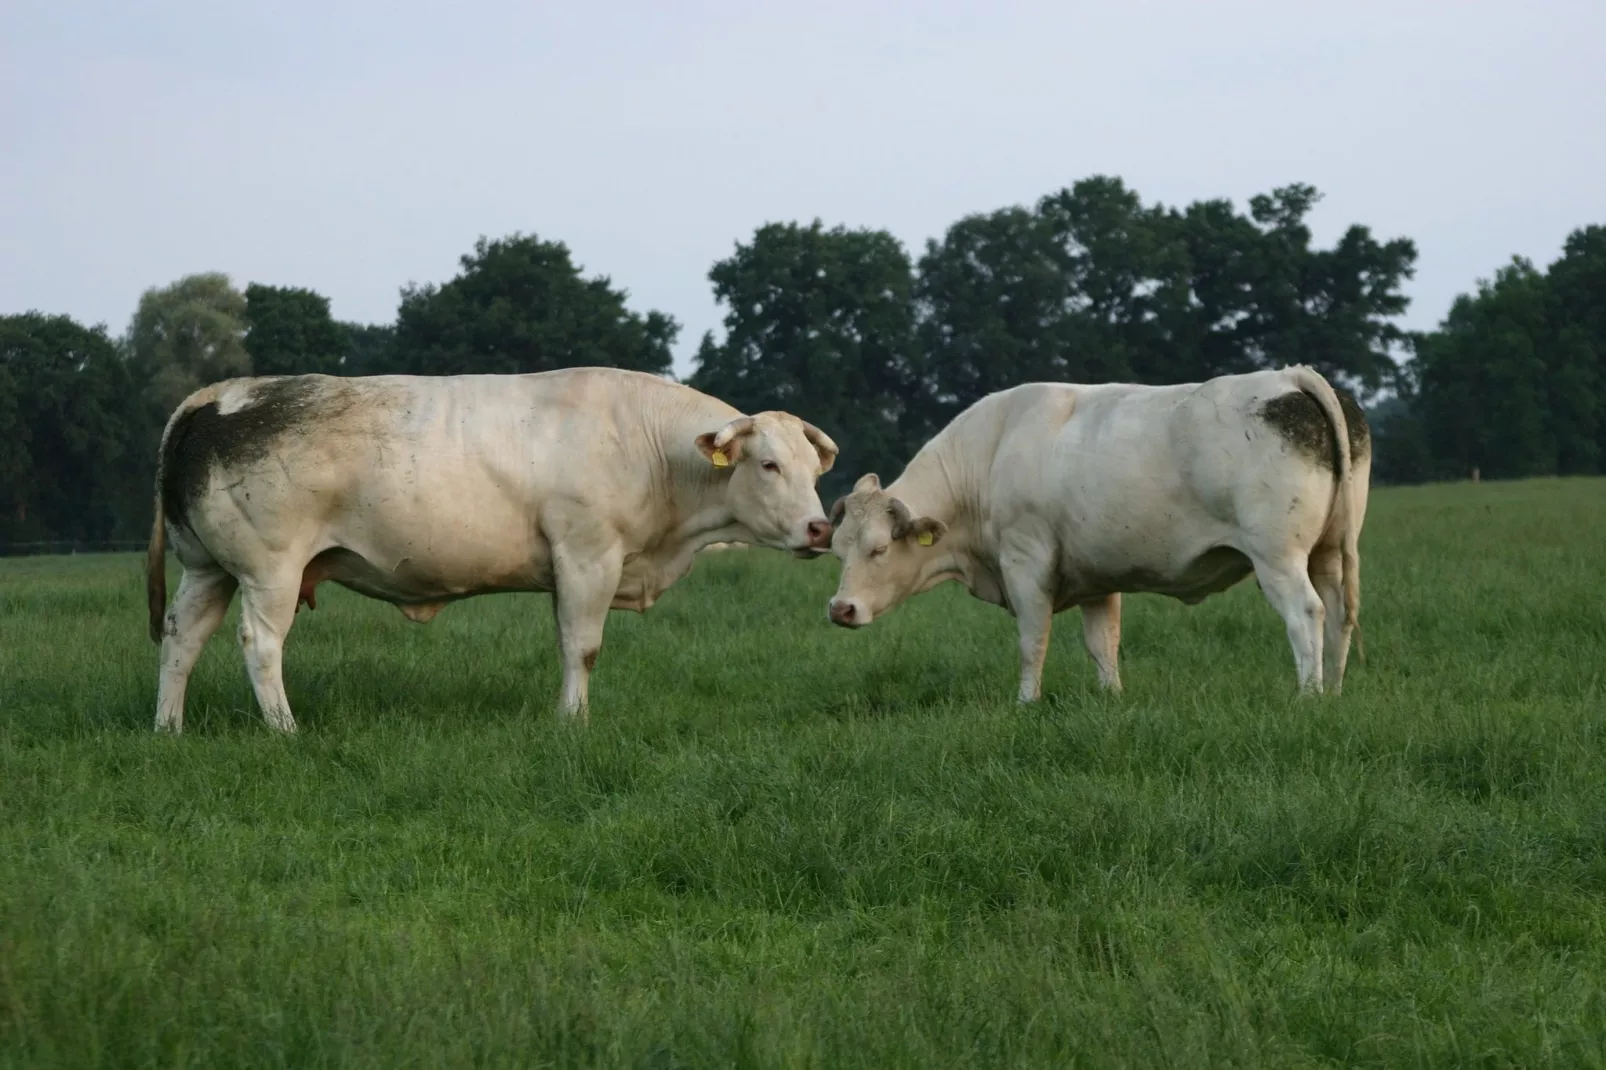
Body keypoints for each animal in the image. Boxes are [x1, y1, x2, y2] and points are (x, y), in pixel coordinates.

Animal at [146, 363, 841, 729]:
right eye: (769, 465)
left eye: (814, 468)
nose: (820, 529)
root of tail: (224, 392)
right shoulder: (588, 555)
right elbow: (582, 648)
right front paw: (573, 724)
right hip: (270, 568)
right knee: (260, 644)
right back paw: (285, 730)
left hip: (207, 568)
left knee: (182, 637)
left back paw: (169, 727)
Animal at [828, 364, 1368, 700]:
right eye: (837, 551)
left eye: (879, 549)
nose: (840, 610)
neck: (990, 452)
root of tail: (1287, 376)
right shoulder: (1096, 578)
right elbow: (1102, 644)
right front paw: (1111, 698)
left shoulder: (1026, 564)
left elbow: (1033, 641)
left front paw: (1026, 703)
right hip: (1329, 551)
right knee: (1339, 613)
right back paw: (1335, 692)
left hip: (1278, 557)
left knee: (1306, 613)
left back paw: (1308, 695)